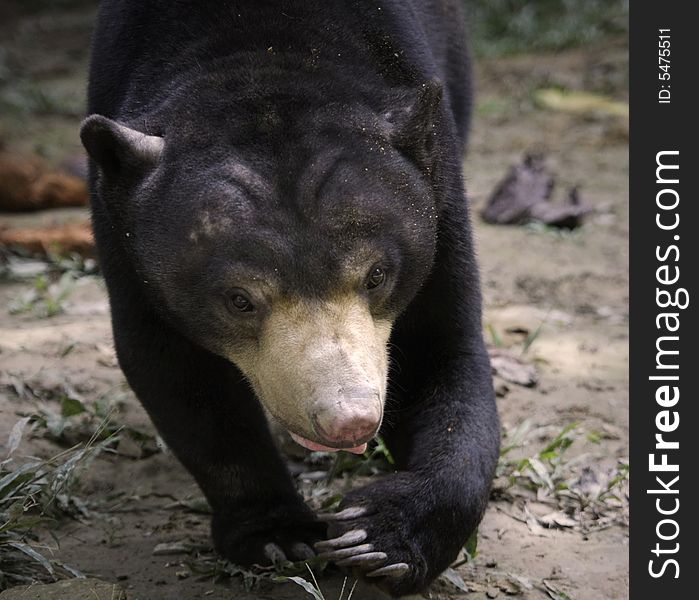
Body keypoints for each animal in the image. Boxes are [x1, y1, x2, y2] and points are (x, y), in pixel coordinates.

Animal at [80, 0, 498, 596]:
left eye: (377, 276)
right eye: (239, 300)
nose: (349, 422)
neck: (264, 54)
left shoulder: (438, 206)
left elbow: (442, 358)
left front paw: (377, 537)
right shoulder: (124, 237)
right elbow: (177, 374)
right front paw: (279, 536)